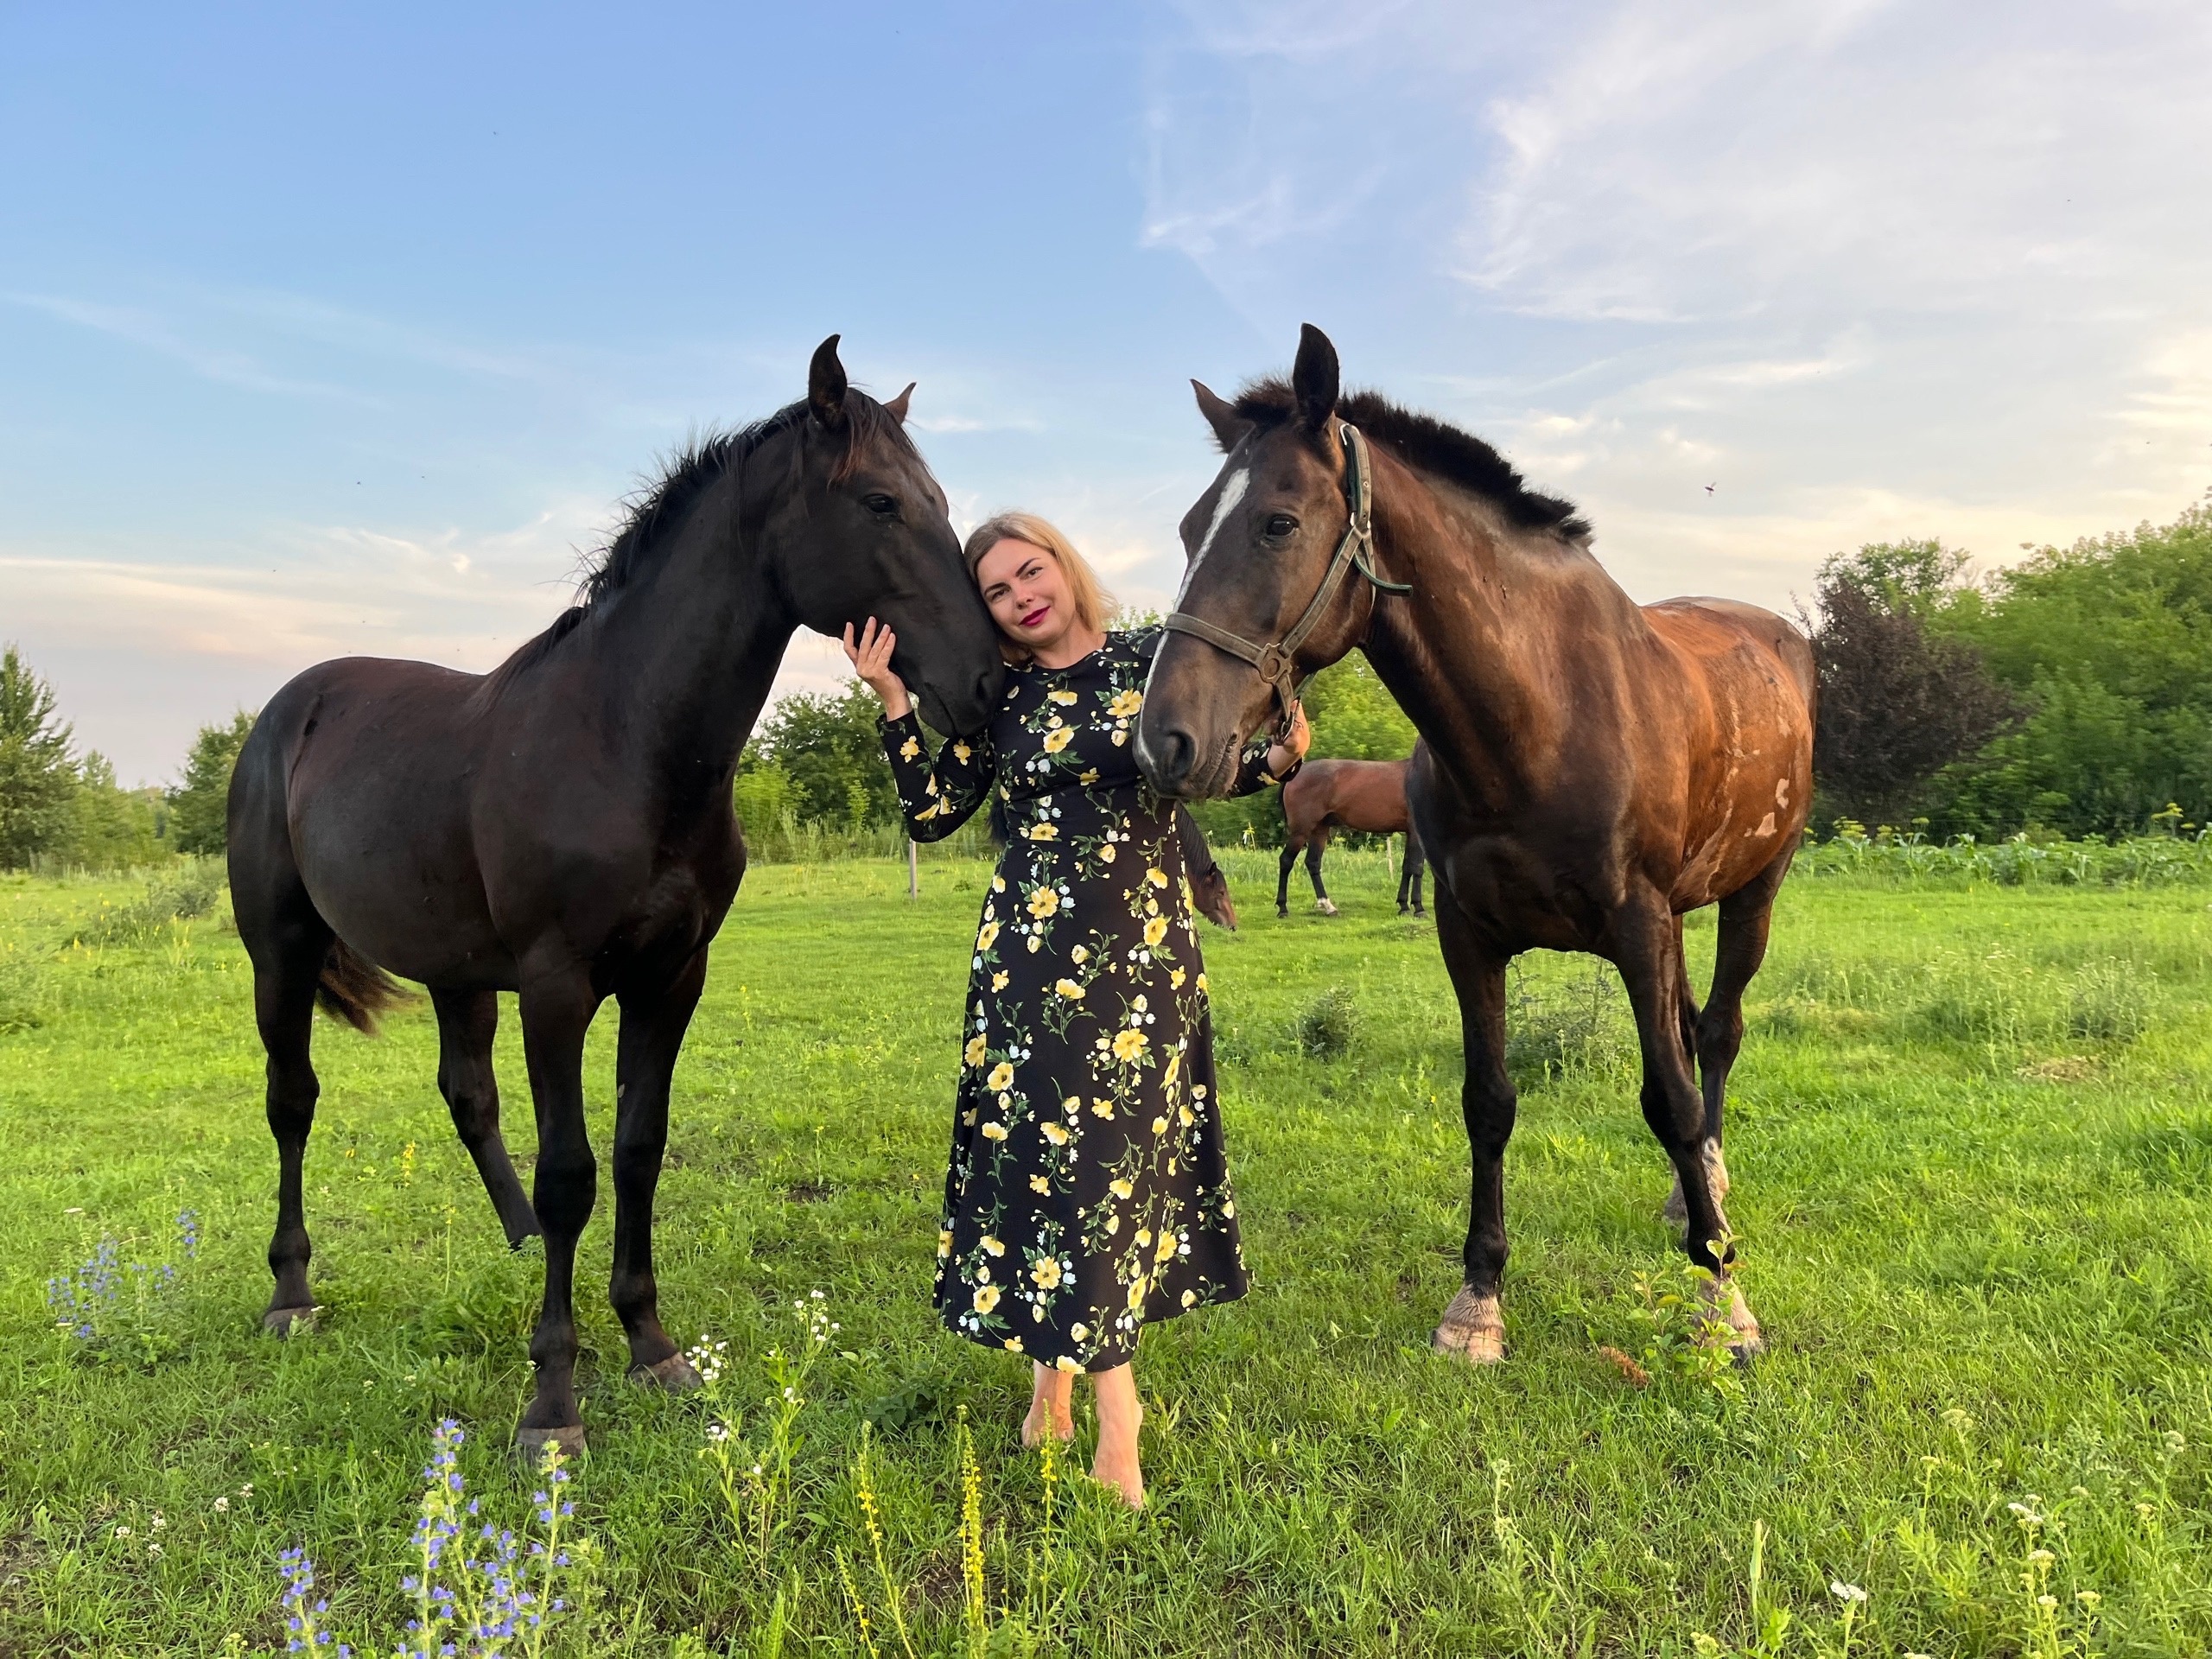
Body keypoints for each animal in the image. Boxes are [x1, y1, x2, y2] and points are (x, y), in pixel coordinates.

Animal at [228, 338, 1008, 1451]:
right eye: (880, 503)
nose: (988, 683)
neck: (624, 741)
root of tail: (287, 709)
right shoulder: (557, 989)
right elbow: (572, 1175)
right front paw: (553, 1397)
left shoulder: (670, 978)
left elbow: (638, 1151)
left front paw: (649, 1344)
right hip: (282, 954)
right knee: (292, 1101)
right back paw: (292, 1294)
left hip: (457, 972)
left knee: (467, 1098)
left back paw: (510, 1243)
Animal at [1282, 752, 1433, 925]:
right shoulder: (1415, 833)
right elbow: (1416, 867)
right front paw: (1419, 908)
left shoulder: (1410, 833)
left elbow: (1407, 867)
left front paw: (1404, 907)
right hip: (1301, 831)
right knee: (1286, 861)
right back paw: (1282, 909)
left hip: (1319, 829)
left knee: (1313, 863)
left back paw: (1329, 907)